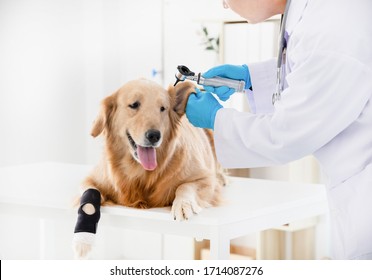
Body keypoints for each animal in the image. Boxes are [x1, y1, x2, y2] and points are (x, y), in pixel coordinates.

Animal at [72, 78, 224, 258]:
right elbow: (89, 198)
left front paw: (182, 205)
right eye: (134, 105)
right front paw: (83, 239)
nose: (154, 136)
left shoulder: (206, 179)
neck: (140, 172)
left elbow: (185, 186)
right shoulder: (90, 180)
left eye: (163, 108)